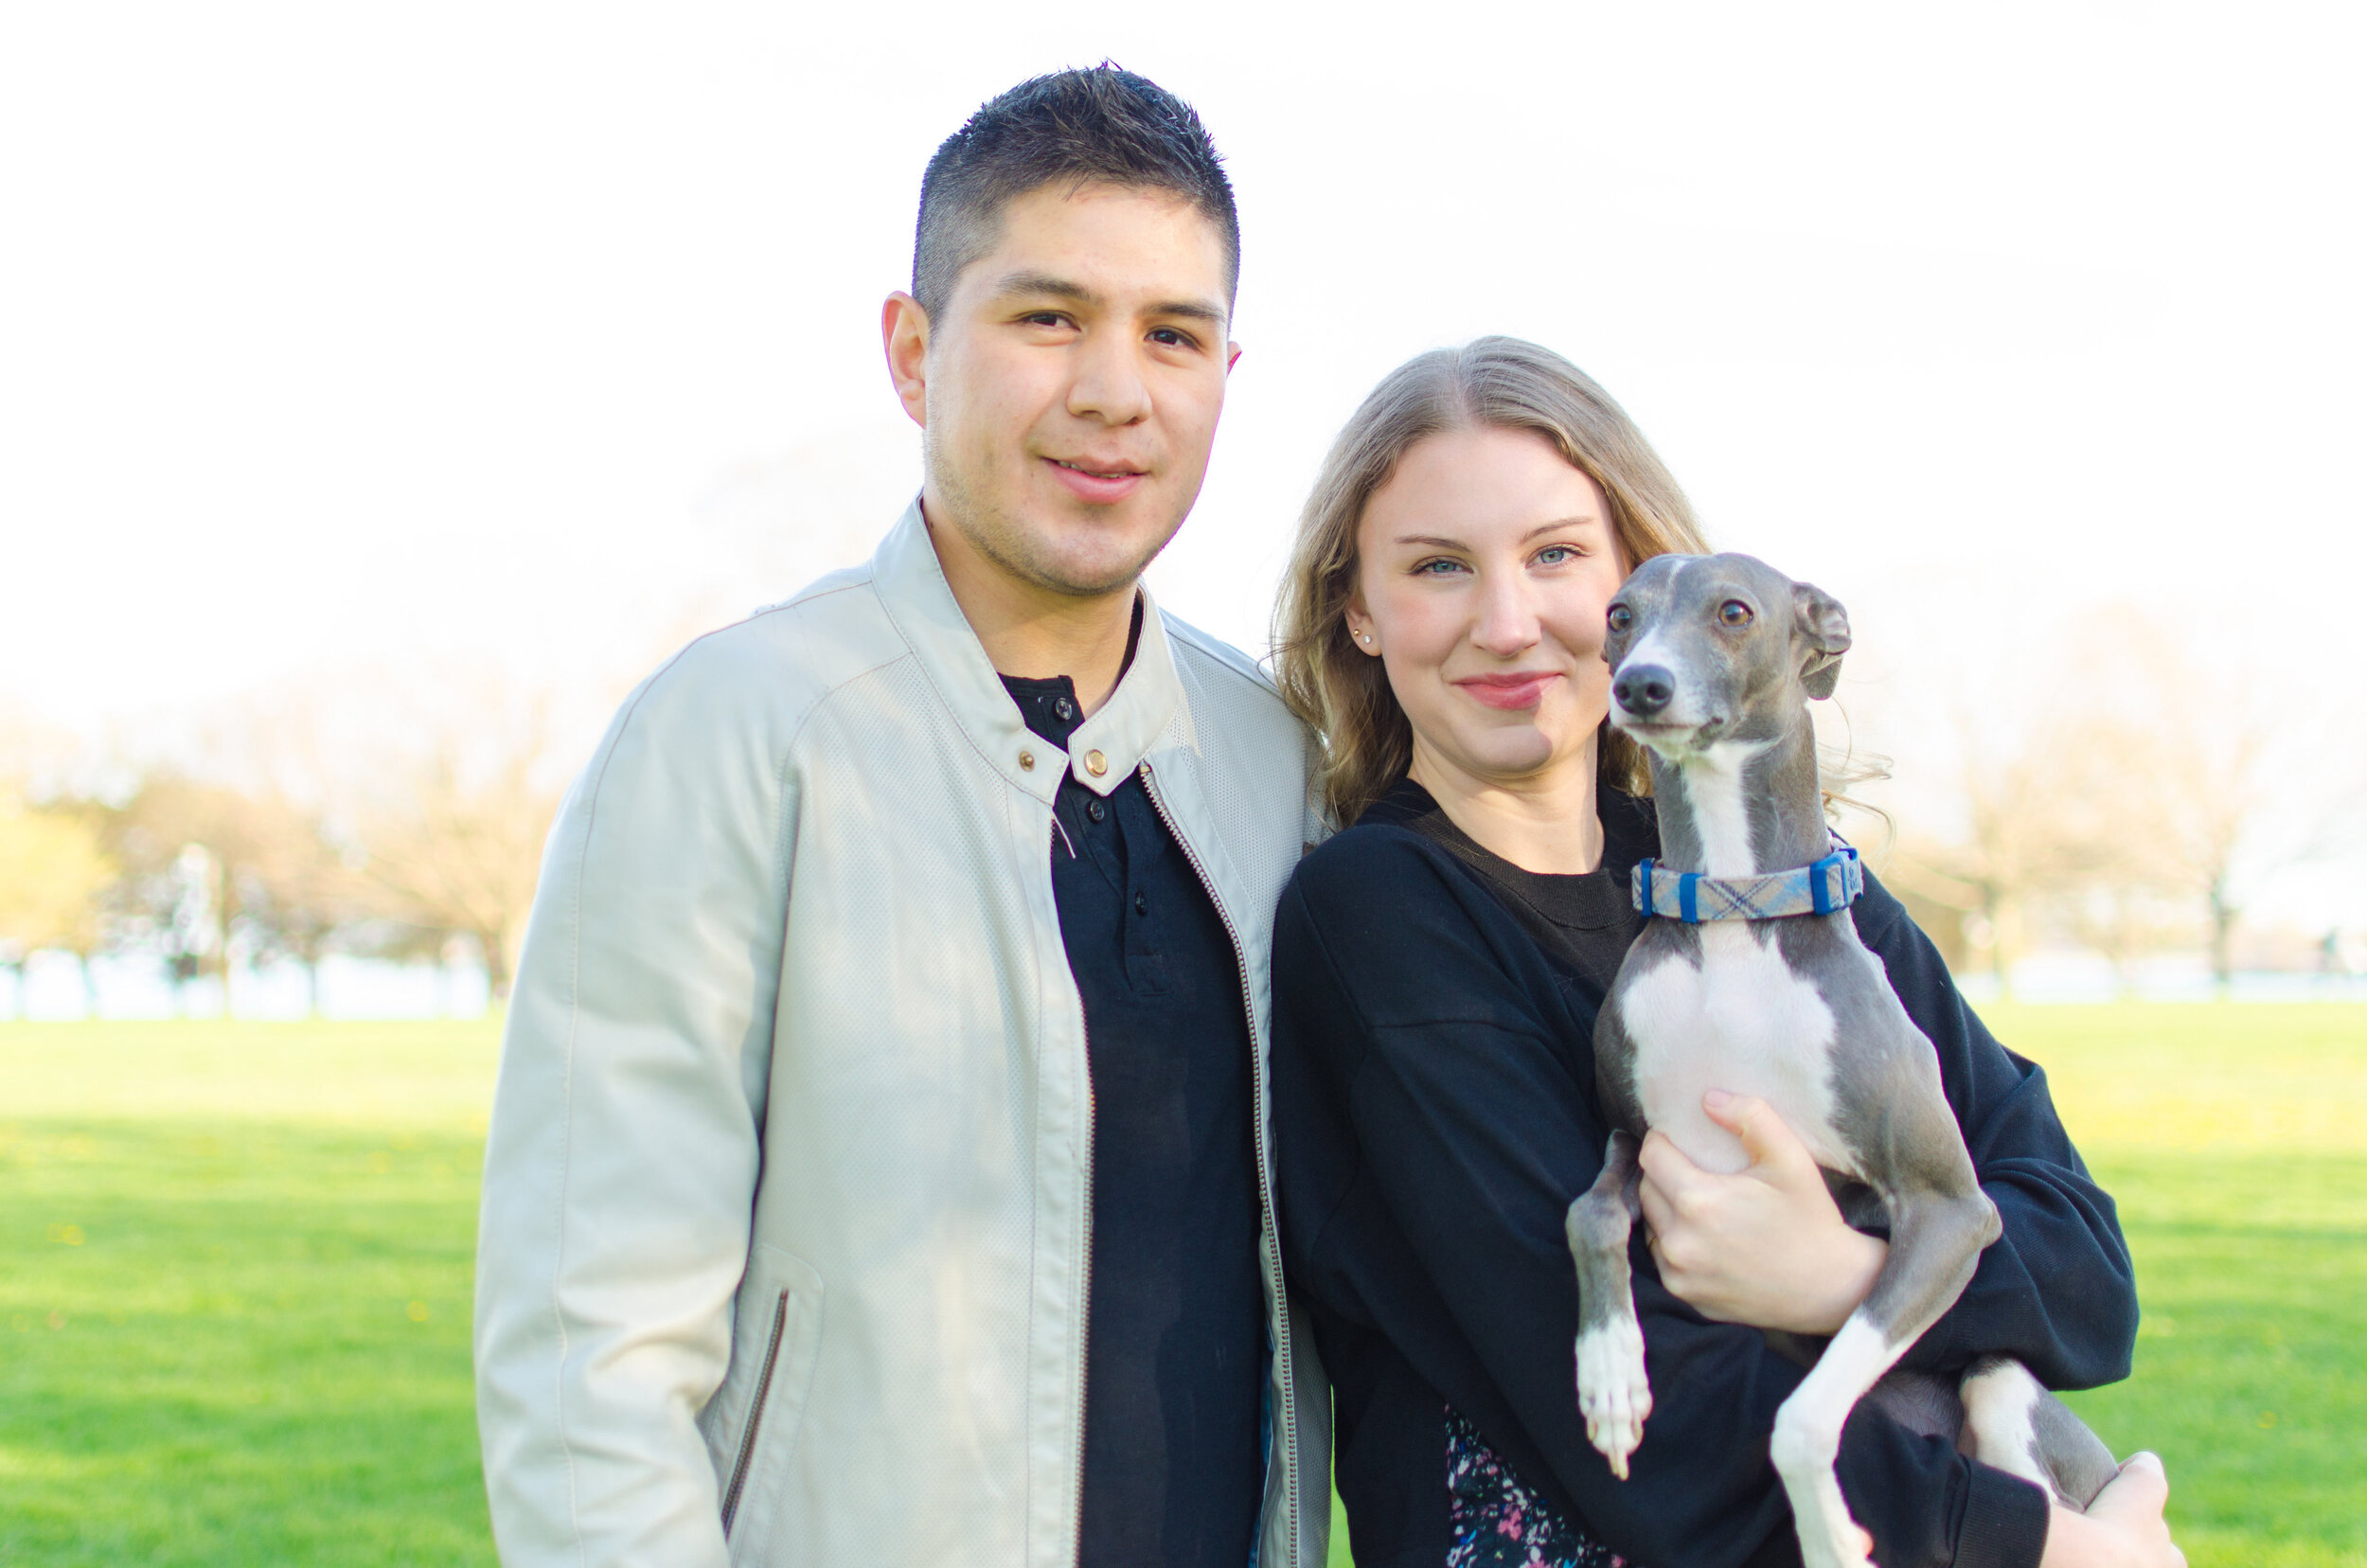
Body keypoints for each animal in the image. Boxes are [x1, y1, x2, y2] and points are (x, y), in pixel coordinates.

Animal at [1572, 551, 2111, 1568]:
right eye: (1619, 614)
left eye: (1734, 611)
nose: (1640, 687)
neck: (1734, 915)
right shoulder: (1632, 1133)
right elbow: (1589, 1214)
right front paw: (1611, 1374)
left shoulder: (1950, 1211)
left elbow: (1802, 1415)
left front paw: (1829, 1534)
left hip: (2009, 1395)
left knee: (2001, 1398)